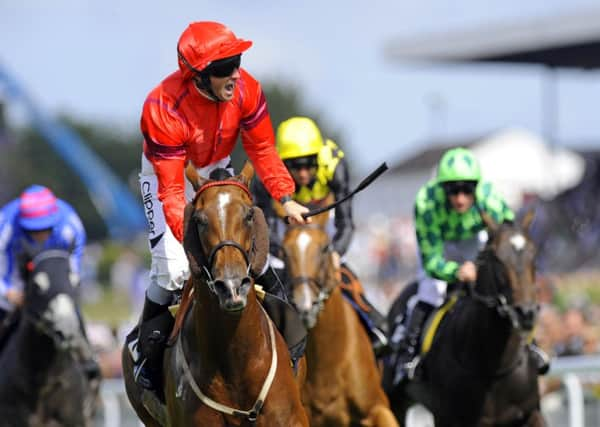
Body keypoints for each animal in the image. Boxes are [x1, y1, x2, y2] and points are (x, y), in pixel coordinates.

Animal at [384, 214, 548, 427]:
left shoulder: (532, 412)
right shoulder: (450, 418)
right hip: (395, 400)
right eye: (496, 258)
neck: (493, 367)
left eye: (533, 255)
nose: (526, 313)